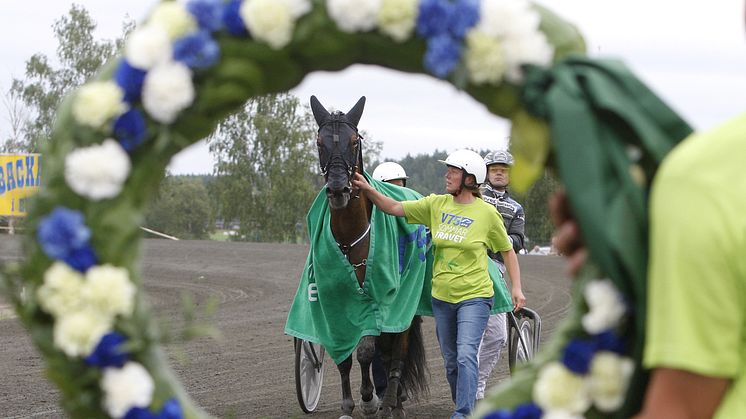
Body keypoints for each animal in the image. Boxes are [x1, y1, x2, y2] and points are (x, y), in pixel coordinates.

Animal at [308, 96, 428, 419]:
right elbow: (344, 355)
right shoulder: (334, 300)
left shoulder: (377, 298)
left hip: (405, 306)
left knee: (396, 350)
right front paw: (348, 407)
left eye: (353, 142)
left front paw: (368, 400)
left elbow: (365, 350)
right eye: (319, 142)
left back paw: (392, 403)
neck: (350, 239)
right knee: (386, 353)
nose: (339, 189)